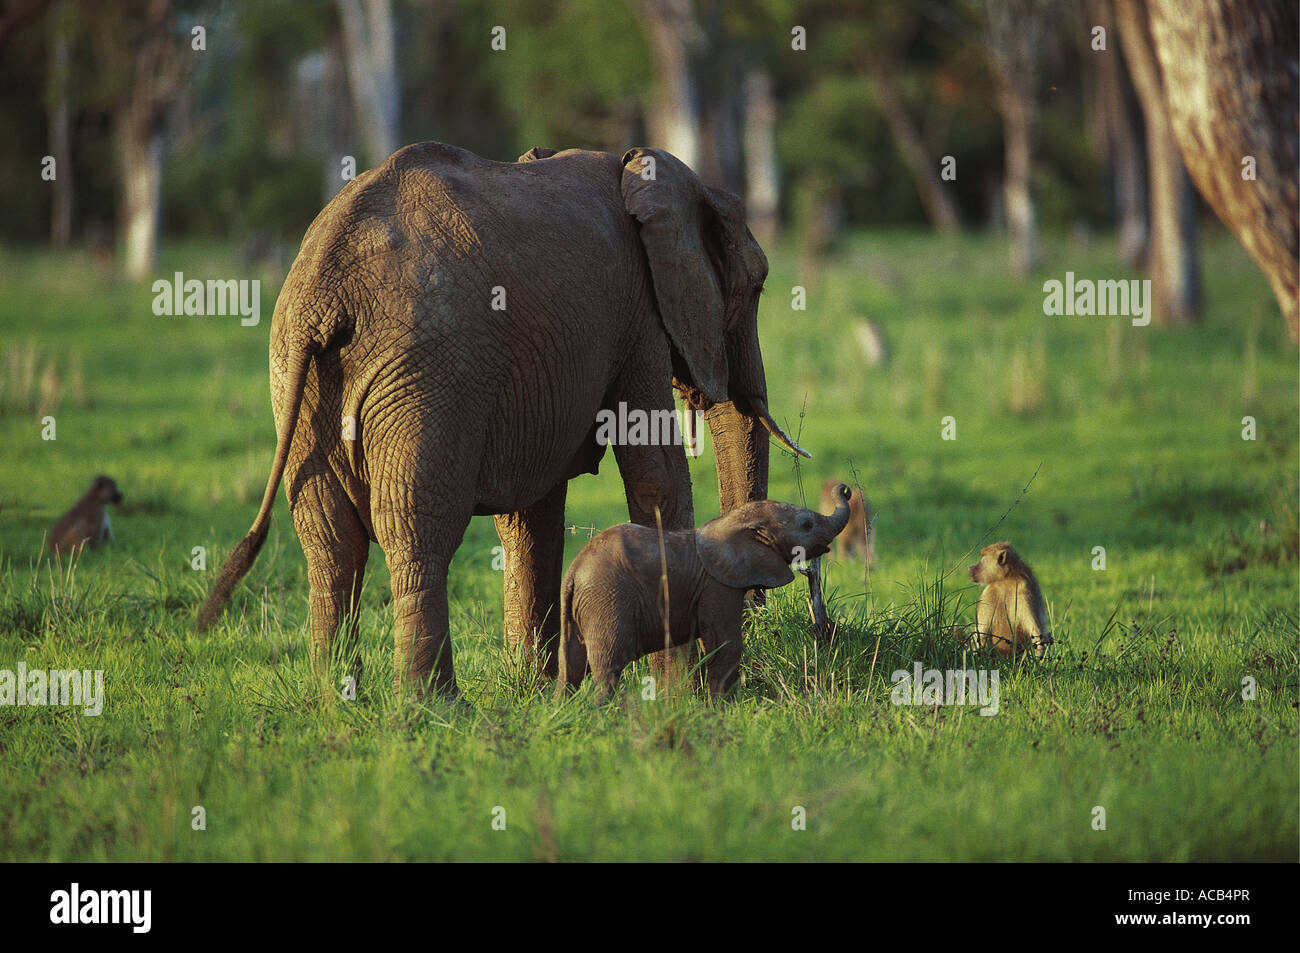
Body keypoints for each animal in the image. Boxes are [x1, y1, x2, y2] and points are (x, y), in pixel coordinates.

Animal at [196, 141, 806, 696]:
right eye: (757, 285)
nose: (758, 603)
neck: (644, 169)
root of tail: (324, 287)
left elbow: (531, 513)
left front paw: (540, 690)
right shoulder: (637, 315)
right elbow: (655, 472)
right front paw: (681, 690)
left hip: (296, 383)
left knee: (329, 543)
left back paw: (339, 701)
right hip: (427, 374)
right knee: (417, 530)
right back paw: (434, 705)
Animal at [556, 483, 852, 696]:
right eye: (806, 524)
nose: (844, 489)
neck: (731, 522)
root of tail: (573, 571)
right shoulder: (717, 586)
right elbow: (726, 645)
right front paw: (724, 709)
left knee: (570, 666)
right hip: (608, 599)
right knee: (609, 664)